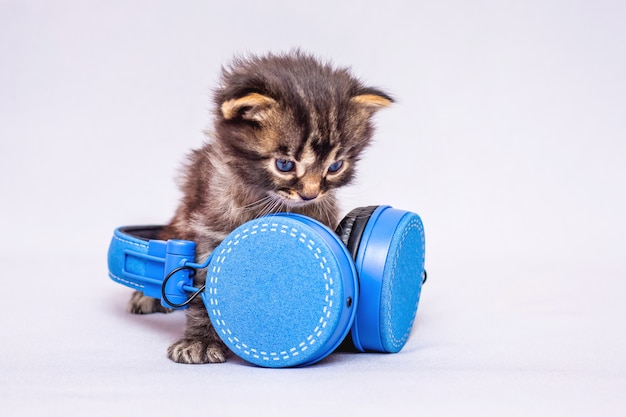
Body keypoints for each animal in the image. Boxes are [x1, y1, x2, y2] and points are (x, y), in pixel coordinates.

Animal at [126, 49, 390, 364]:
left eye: (335, 166)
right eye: (285, 165)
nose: (310, 194)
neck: (266, 201)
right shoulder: (209, 227)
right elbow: (202, 290)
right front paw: (200, 341)